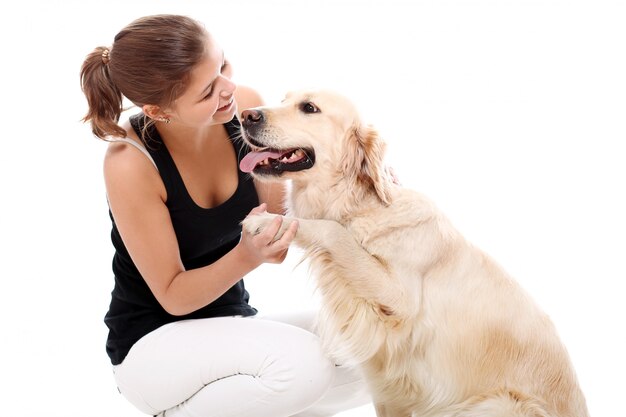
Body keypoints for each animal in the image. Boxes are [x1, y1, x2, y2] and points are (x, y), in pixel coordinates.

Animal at [236, 90, 588, 416]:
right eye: (283, 99)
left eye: (309, 108)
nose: (246, 115)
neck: (360, 205)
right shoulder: (386, 389)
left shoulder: (401, 297)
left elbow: (333, 231)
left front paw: (267, 222)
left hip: (493, 405)